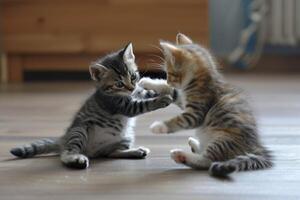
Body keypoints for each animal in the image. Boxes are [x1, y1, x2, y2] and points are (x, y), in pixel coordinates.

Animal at [9, 43, 173, 169]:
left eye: (133, 76)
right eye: (119, 84)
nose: (131, 87)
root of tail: (63, 139)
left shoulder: (135, 93)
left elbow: (144, 93)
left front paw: (160, 90)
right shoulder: (121, 105)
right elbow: (142, 105)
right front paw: (162, 100)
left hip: (125, 137)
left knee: (111, 153)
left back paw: (135, 151)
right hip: (80, 130)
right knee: (66, 153)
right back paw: (76, 159)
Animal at [139, 34, 274, 177]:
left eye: (170, 73)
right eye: (166, 75)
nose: (169, 81)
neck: (202, 79)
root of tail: (256, 145)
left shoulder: (197, 111)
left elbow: (181, 119)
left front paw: (159, 126)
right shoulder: (183, 98)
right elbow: (174, 92)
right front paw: (148, 82)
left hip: (224, 139)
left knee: (207, 161)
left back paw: (182, 155)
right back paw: (194, 144)